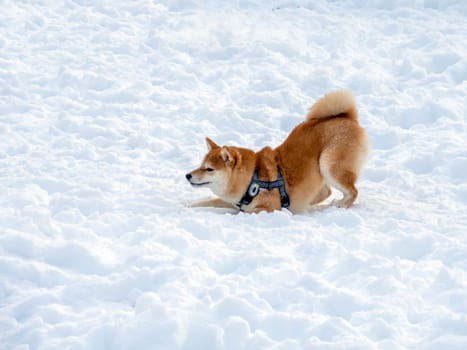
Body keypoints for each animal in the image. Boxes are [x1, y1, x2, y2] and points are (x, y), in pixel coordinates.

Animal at [185, 90, 372, 213]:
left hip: (328, 164)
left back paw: (339, 206)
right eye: (201, 165)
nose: (187, 175)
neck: (252, 178)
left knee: (352, 192)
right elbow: (205, 202)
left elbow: (247, 211)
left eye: (209, 169)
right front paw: (186, 206)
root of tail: (347, 117)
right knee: (326, 192)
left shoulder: (269, 207)